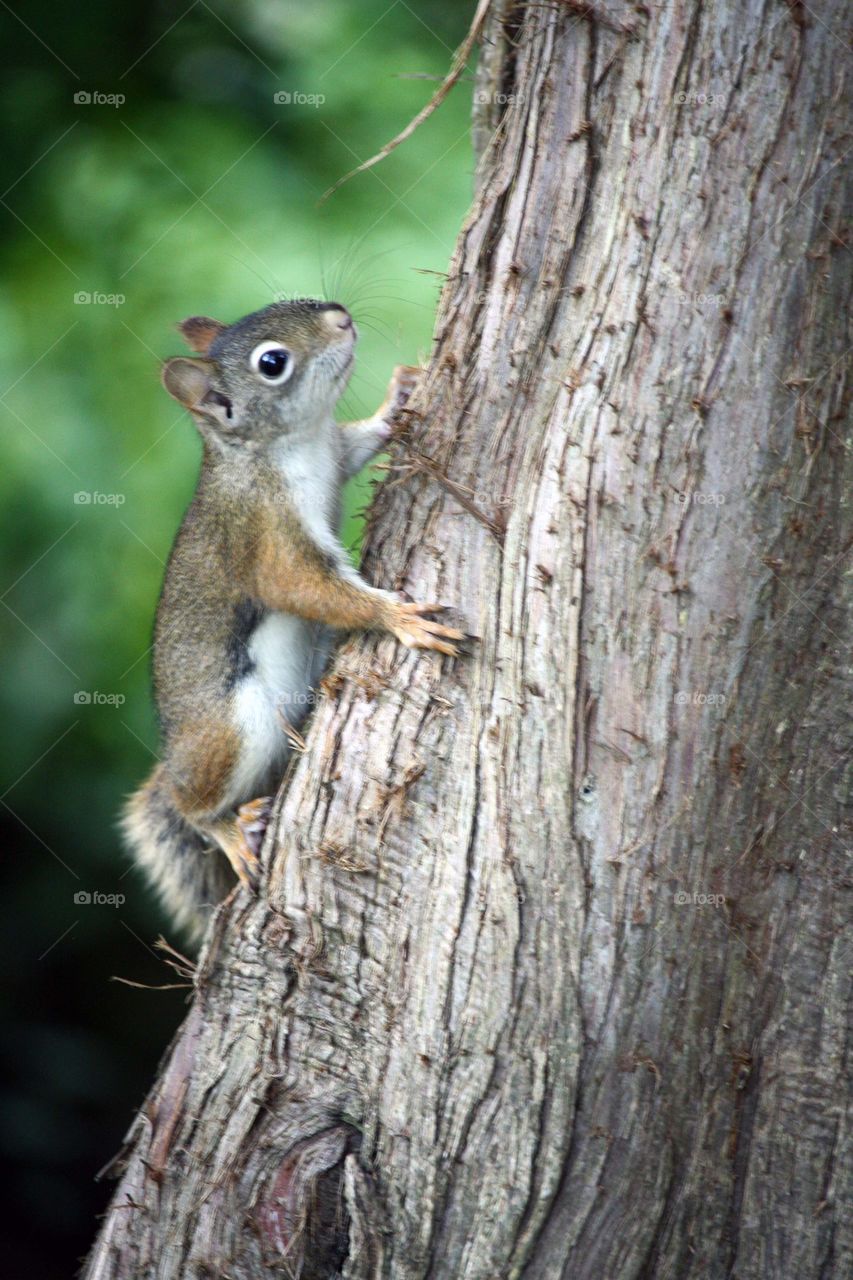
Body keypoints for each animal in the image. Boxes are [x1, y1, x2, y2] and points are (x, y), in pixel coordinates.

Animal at [123, 298, 464, 942]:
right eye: (272, 363)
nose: (341, 318)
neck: (288, 447)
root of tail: (173, 753)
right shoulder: (268, 535)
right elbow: (309, 587)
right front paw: (397, 616)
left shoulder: (334, 456)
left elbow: (360, 444)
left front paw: (398, 397)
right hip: (232, 729)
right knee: (191, 806)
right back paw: (228, 829)